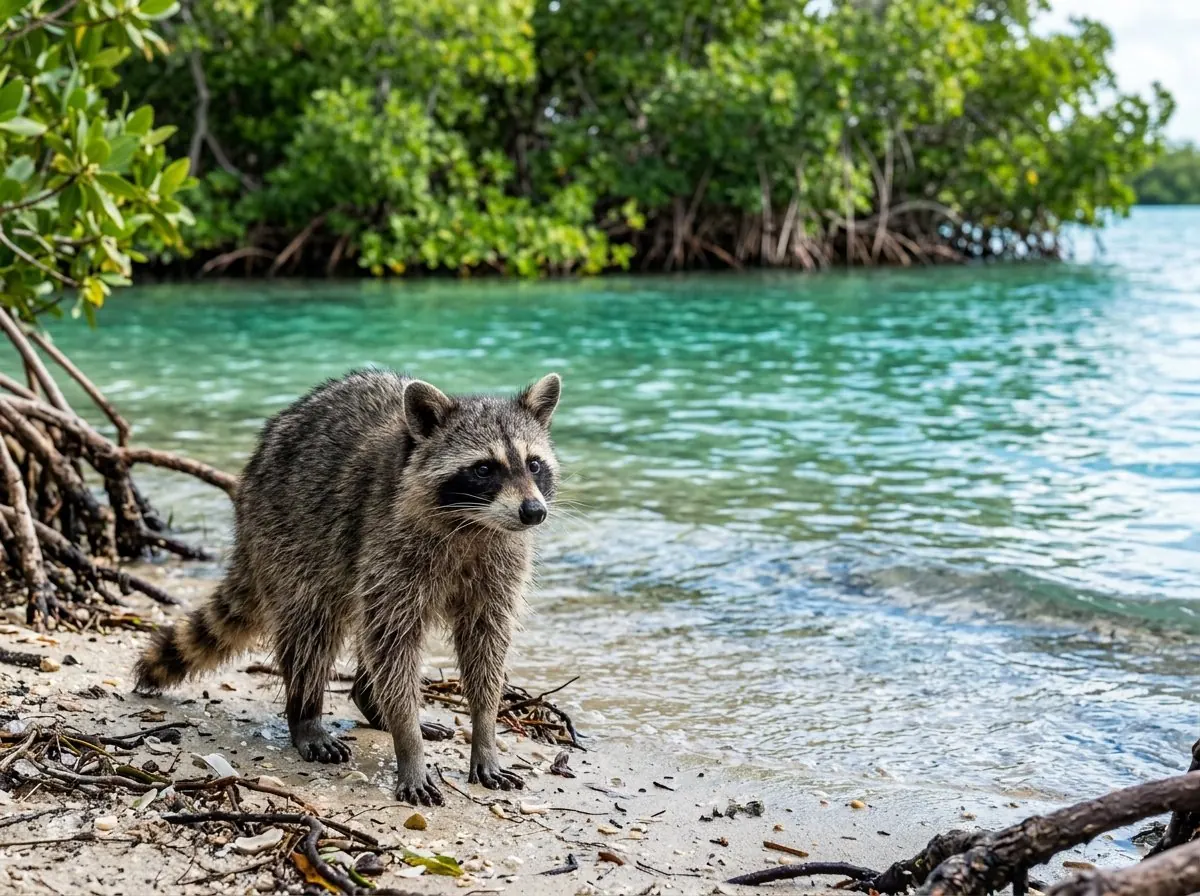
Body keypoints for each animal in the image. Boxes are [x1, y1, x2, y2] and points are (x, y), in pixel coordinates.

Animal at [133, 369, 562, 805]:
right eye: (484, 469)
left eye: (534, 464)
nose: (534, 512)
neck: (473, 524)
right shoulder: (389, 539)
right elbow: (393, 645)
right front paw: (409, 744)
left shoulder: (500, 564)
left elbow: (486, 644)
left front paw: (484, 732)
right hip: (288, 537)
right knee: (313, 630)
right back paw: (306, 714)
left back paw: (368, 700)